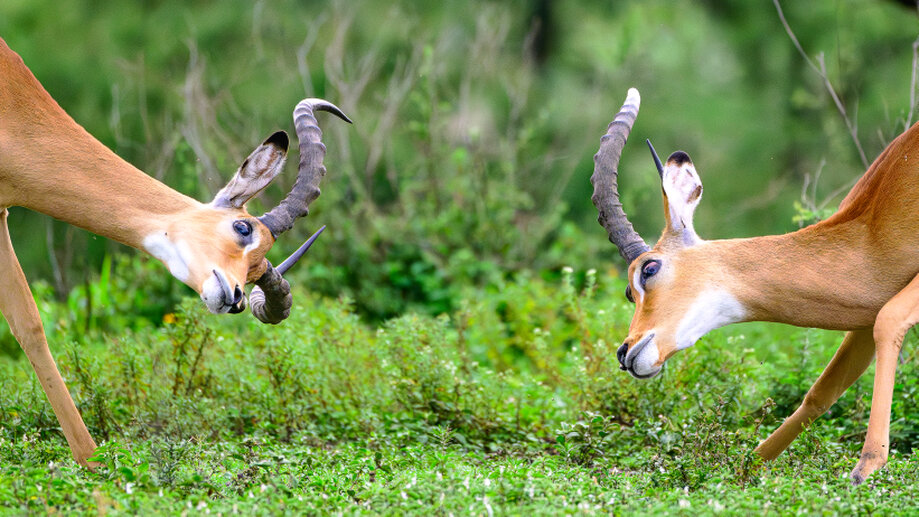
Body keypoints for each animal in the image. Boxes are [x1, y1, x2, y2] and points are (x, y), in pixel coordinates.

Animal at [0, 37, 350, 466]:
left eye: (255, 272)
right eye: (243, 227)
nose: (235, 297)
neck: (14, 108)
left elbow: (28, 326)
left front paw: (90, 460)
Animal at [592, 88, 919, 485]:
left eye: (648, 268)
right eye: (628, 292)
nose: (625, 352)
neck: (871, 228)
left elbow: (890, 320)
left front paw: (866, 467)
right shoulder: (862, 313)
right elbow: (822, 390)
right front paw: (746, 467)